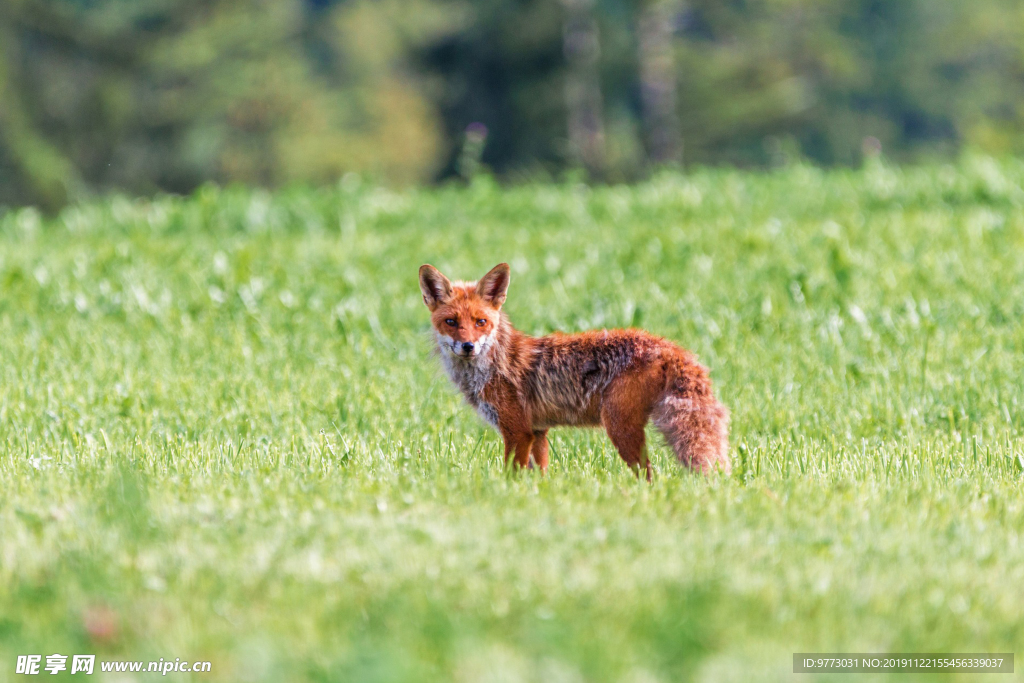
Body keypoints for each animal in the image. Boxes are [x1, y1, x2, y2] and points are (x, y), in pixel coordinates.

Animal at [419, 264, 733, 479]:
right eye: (451, 322)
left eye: (480, 322)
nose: (468, 346)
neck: (491, 366)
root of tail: (667, 346)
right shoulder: (537, 432)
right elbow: (540, 475)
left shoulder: (517, 431)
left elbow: (511, 474)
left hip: (619, 426)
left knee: (648, 476)